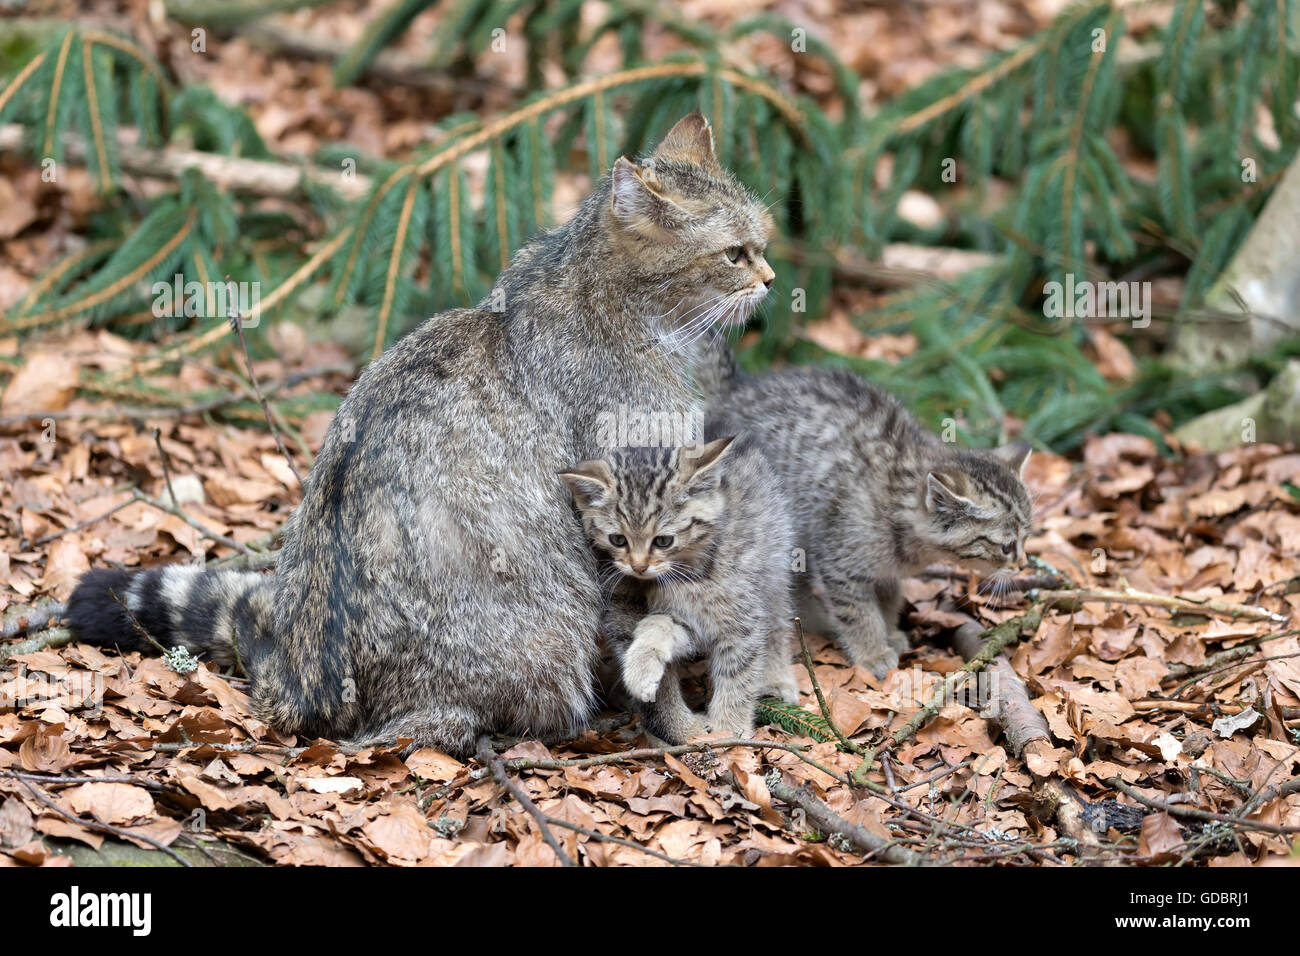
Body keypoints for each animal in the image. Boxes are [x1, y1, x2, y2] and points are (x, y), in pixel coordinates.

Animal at [561, 437, 795, 743]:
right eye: (618, 539)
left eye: (663, 540)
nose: (638, 567)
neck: (689, 573)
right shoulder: (687, 621)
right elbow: (660, 625)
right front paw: (641, 667)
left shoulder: (742, 620)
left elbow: (738, 674)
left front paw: (730, 730)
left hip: (774, 568)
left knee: (778, 621)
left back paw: (778, 678)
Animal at [712, 364, 1034, 671]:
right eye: (1006, 547)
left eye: (1027, 537)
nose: (1022, 565)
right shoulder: (838, 559)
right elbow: (856, 610)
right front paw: (872, 651)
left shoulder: (885, 569)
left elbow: (889, 595)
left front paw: (888, 631)